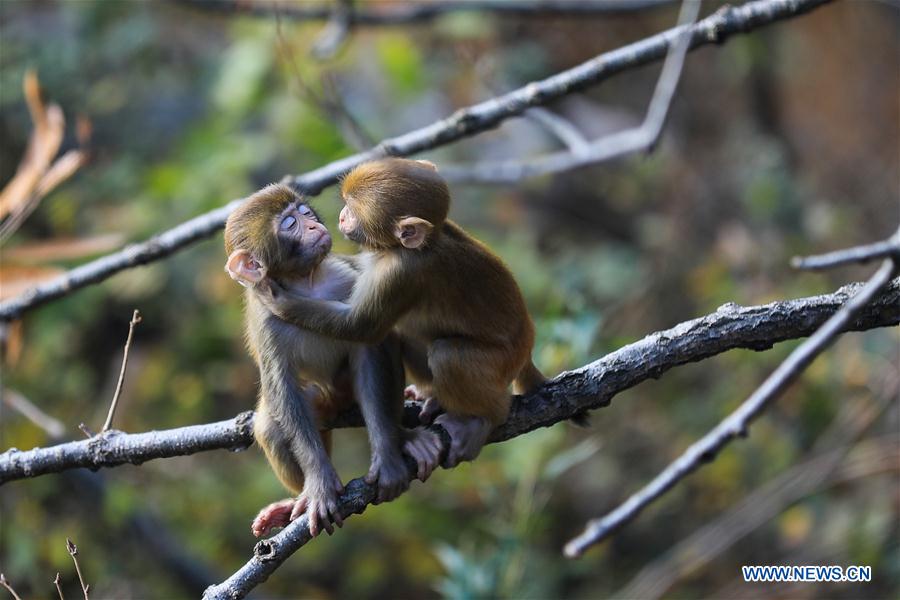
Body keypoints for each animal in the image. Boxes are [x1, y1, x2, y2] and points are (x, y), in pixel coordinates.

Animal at [224, 183, 442, 538]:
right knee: (272, 425)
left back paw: (405, 436)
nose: (314, 226)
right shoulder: (265, 318)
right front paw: (319, 483)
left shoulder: (350, 278)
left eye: (305, 212)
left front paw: (387, 456)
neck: (307, 281)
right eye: (290, 224)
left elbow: (370, 347)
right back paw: (291, 505)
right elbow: (283, 388)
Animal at [257, 158, 547, 468]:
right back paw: (432, 395)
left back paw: (482, 420)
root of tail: (527, 346)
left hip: (503, 362)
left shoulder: (401, 273)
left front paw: (279, 300)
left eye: (353, 210)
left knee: (447, 355)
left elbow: (361, 327)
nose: (342, 217)